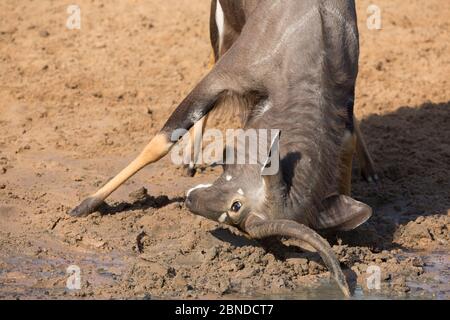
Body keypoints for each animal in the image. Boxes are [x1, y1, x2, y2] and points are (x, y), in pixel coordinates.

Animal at [71, 0, 380, 298]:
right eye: (236, 206)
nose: (190, 201)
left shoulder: (344, 99)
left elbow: (348, 143)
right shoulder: (222, 78)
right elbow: (163, 140)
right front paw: (87, 204)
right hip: (221, 34)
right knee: (210, 59)